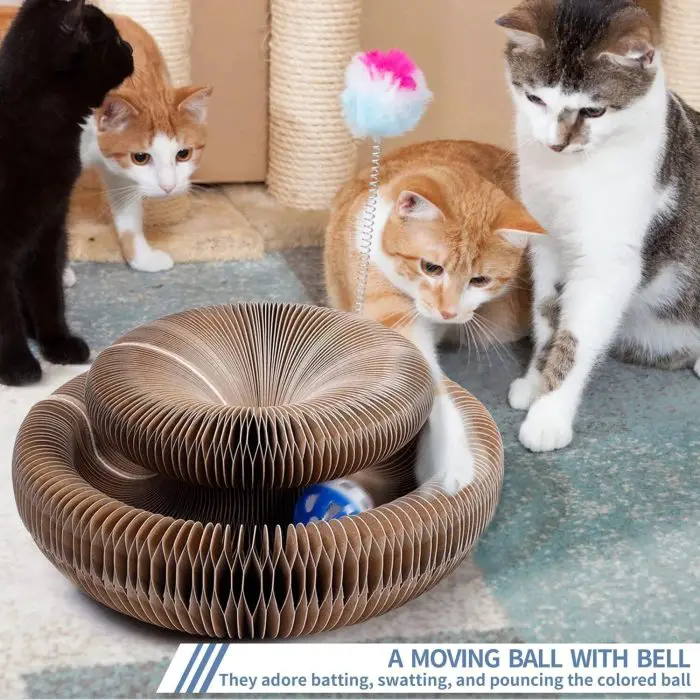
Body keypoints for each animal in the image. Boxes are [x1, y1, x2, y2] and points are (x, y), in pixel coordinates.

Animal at [0, 0, 133, 388]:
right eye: (113, 39)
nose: (131, 48)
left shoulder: (49, 226)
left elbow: (48, 293)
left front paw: (58, 343)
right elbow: (5, 314)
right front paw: (17, 365)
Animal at [78, 15, 211, 274]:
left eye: (183, 154)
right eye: (141, 157)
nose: (169, 187)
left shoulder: (121, 172)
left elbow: (128, 215)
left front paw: (142, 257)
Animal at [326, 139, 544, 492]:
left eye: (479, 280)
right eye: (431, 267)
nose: (449, 311)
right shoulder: (388, 311)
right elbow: (431, 383)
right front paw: (453, 459)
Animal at [498, 0, 700, 454]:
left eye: (594, 110)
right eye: (534, 98)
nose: (556, 143)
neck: (568, 173)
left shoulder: (608, 263)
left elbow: (576, 338)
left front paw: (548, 416)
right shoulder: (548, 245)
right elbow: (548, 318)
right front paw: (535, 382)